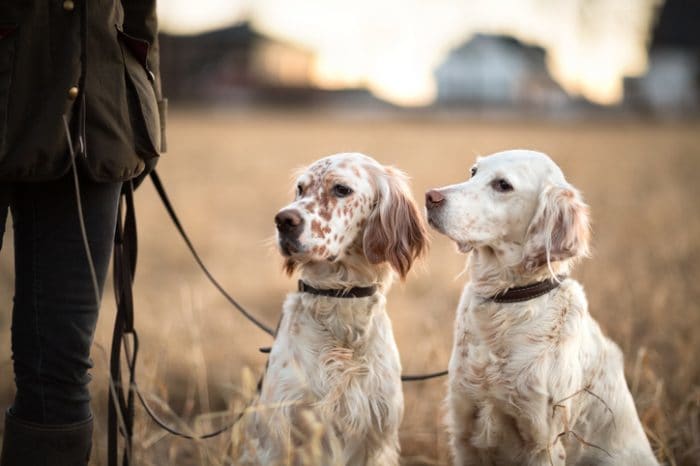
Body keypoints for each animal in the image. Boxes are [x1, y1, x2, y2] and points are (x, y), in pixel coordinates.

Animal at [424, 150, 660, 466]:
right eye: (473, 172)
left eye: (503, 185)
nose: (431, 197)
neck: (507, 302)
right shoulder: (464, 430)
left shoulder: (543, 442)